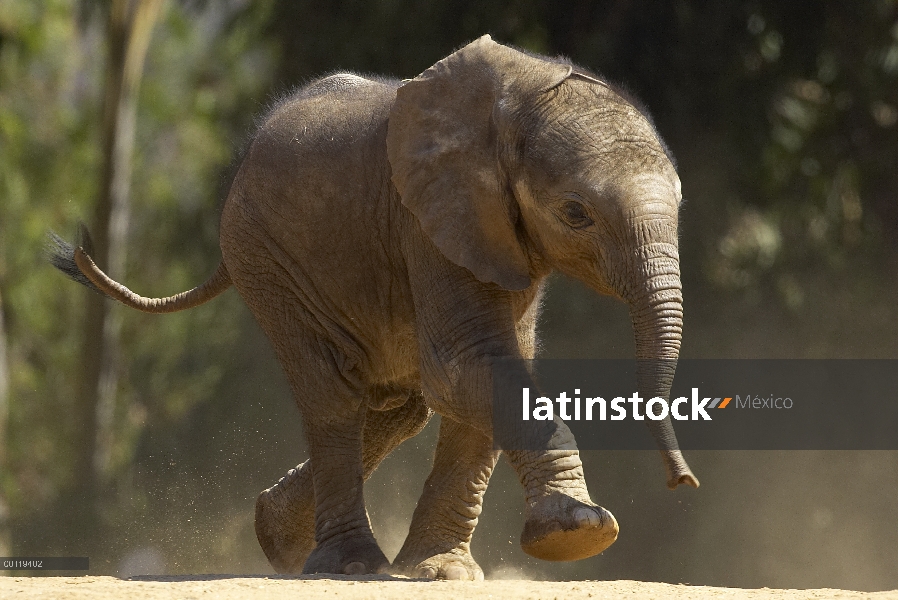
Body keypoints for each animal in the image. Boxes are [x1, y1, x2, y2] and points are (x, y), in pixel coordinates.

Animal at [50, 35, 700, 580]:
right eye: (575, 213)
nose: (685, 483)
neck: (524, 96)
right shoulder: (429, 220)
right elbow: (467, 365)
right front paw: (580, 535)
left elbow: (490, 369)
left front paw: (440, 573)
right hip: (266, 259)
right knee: (334, 395)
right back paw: (345, 565)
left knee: (396, 405)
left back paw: (278, 538)